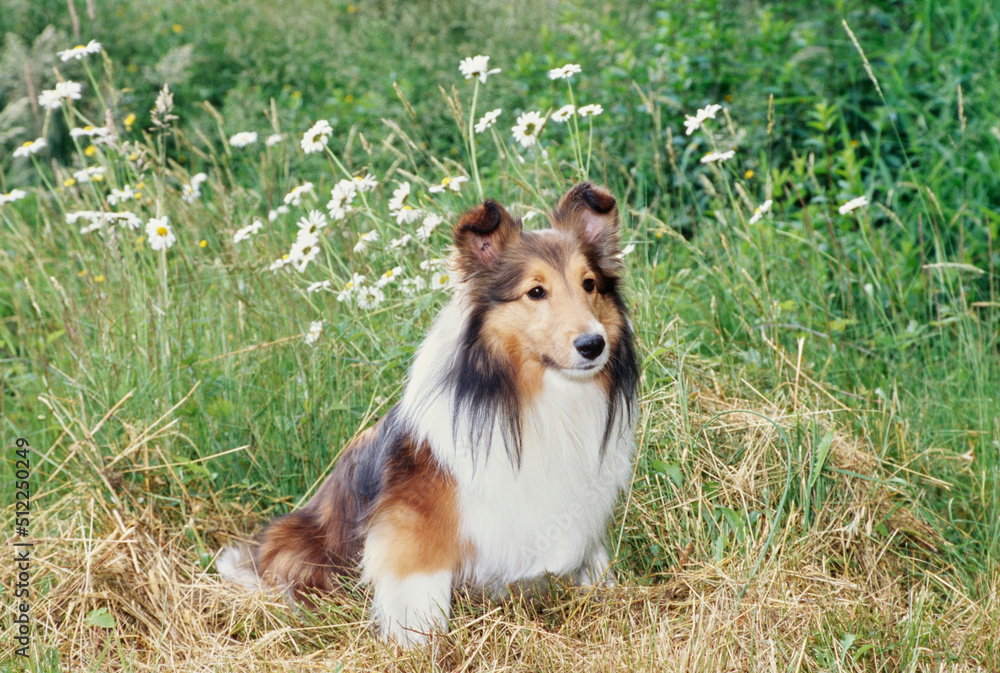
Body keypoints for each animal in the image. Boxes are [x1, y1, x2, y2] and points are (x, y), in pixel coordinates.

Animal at [219, 181, 640, 644]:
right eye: (536, 291)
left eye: (589, 284)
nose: (593, 345)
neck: (533, 397)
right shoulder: (411, 524)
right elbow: (419, 592)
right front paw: (421, 644)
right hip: (297, 540)